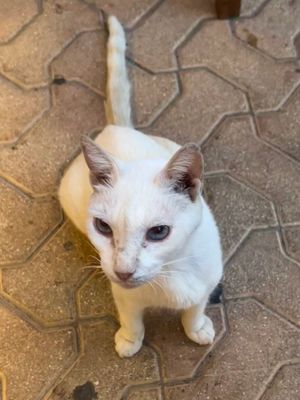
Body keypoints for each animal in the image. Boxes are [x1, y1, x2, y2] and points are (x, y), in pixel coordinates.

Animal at [59, 17, 223, 358]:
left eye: (158, 232)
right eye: (103, 227)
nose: (123, 271)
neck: (171, 272)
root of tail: (115, 128)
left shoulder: (207, 281)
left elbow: (195, 308)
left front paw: (197, 327)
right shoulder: (124, 295)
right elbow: (132, 317)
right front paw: (130, 340)